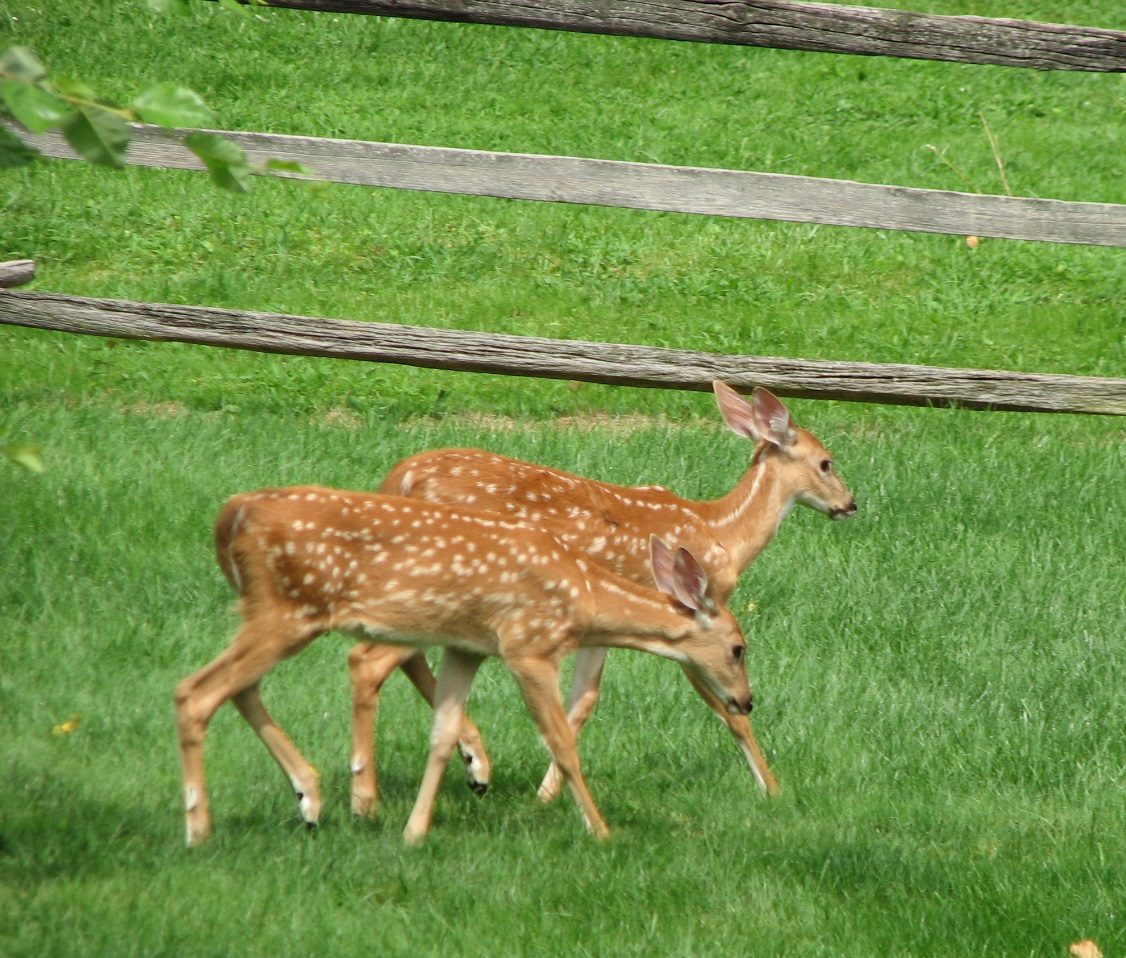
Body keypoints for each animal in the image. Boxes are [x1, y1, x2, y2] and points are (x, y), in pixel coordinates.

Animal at [175, 486, 752, 846]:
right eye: (739, 647)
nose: (746, 700)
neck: (583, 594)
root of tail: (231, 516)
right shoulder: (528, 646)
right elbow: (562, 742)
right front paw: (602, 831)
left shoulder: (468, 646)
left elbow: (442, 734)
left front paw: (415, 831)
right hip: (288, 609)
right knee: (196, 692)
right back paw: (199, 830)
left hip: (271, 612)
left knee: (238, 688)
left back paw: (309, 801)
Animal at [346, 378, 855, 815]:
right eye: (826, 462)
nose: (850, 504)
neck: (724, 533)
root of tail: (398, 479)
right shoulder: (694, 615)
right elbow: (727, 710)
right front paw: (772, 786)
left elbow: (584, 700)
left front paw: (546, 791)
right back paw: (388, 792)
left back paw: (471, 766)